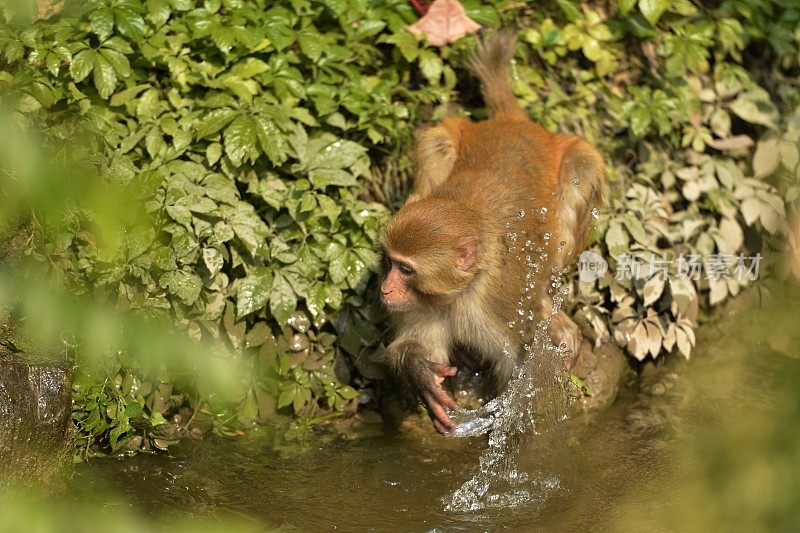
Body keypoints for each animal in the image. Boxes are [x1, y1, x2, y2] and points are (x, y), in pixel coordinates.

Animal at [380, 31, 600, 434]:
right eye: (388, 262)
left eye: (405, 270)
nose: (385, 290)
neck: (461, 292)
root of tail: (515, 123)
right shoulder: (424, 304)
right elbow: (418, 346)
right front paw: (421, 373)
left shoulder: (500, 304)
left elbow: (525, 373)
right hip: (448, 137)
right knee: (435, 141)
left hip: (572, 164)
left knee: (582, 167)